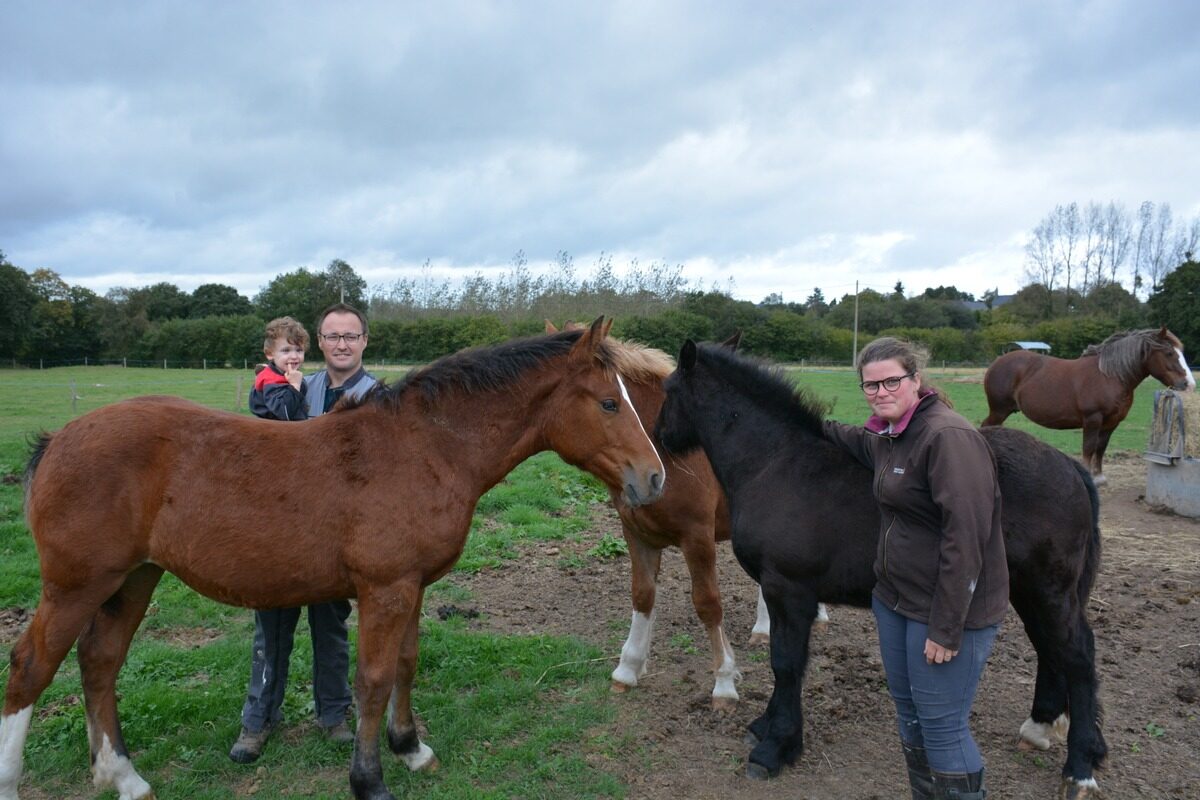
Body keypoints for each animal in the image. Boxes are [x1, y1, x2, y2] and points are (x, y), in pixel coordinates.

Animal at [0, 319, 667, 800]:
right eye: (609, 403)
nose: (654, 478)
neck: (425, 448)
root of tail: (57, 440)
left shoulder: (412, 586)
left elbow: (405, 664)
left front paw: (411, 748)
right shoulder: (385, 588)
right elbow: (371, 678)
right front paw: (368, 780)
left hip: (133, 578)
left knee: (99, 662)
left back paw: (123, 776)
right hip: (76, 585)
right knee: (32, 666)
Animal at [984, 328, 1190, 484]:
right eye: (1169, 353)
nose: (1186, 383)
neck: (1110, 376)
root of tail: (997, 362)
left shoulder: (1111, 423)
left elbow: (1101, 448)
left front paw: (1099, 477)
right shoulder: (1093, 419)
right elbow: (1089, 448)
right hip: (999, 410)